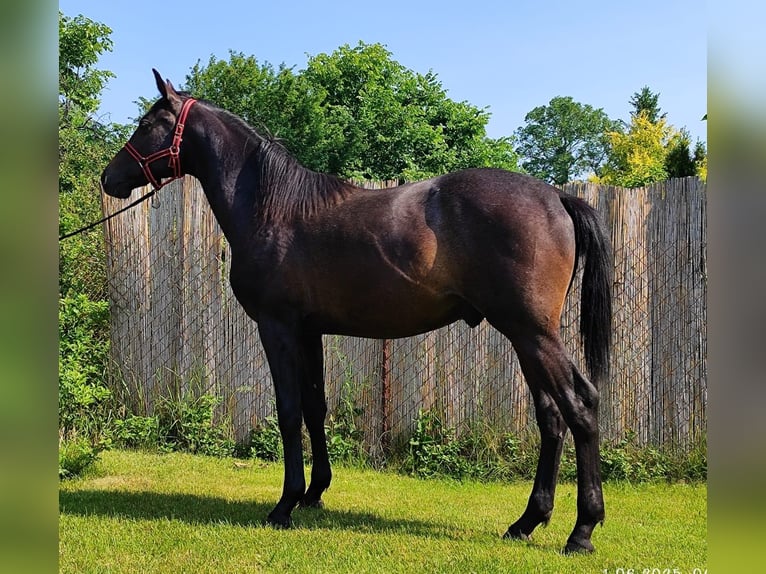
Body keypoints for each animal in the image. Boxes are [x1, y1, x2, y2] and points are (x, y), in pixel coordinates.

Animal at [101, 70, 613, 554]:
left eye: (147, 124)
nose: (109, 178)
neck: (272, 208)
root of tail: (557, 197)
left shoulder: (277, 328)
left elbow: (288, 411)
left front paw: (285, 504)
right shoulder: (309, 333)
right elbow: (314, 407)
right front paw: (314, 493)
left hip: (532, 333)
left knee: (580, 406)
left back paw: (582, 531)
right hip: (526, 337)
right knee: (551, 417)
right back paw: (526, 522)